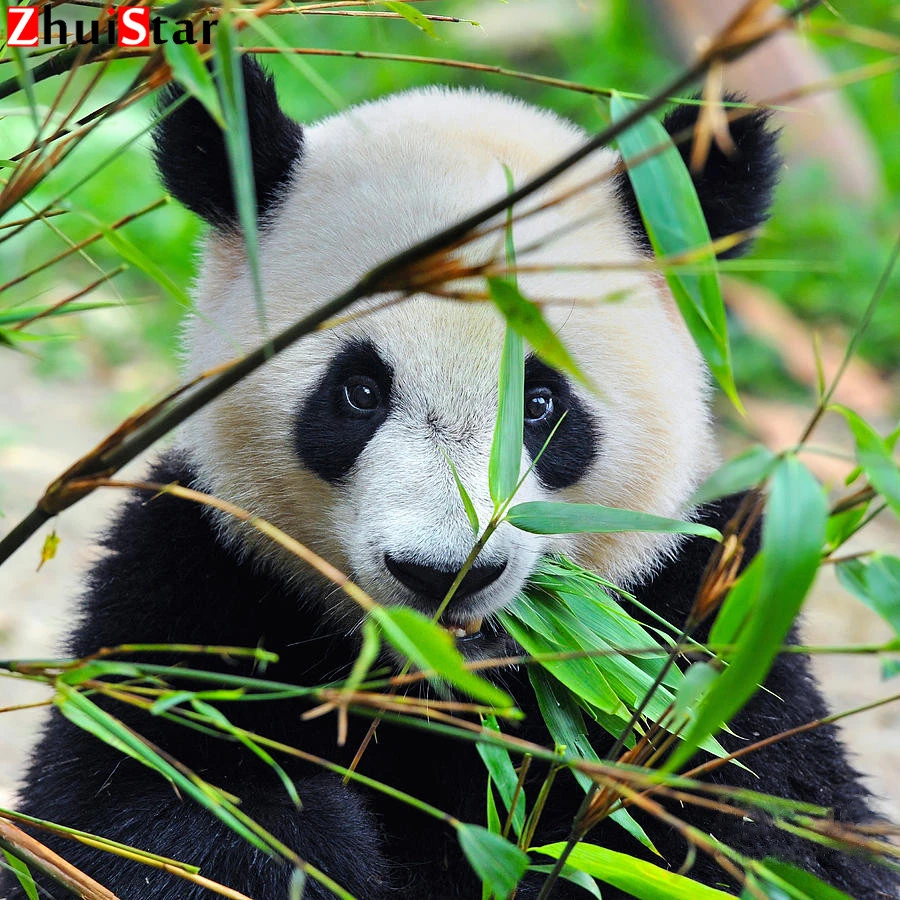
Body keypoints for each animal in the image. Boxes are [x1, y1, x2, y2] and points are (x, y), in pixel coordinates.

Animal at [3, 57, 896, 900]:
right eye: (359, 392)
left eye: (542, 402)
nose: (442, 574)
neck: (445, 682)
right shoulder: (194, 579)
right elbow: (137, 808)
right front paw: (304, 847)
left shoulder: (703, 623)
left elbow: (770, 832)